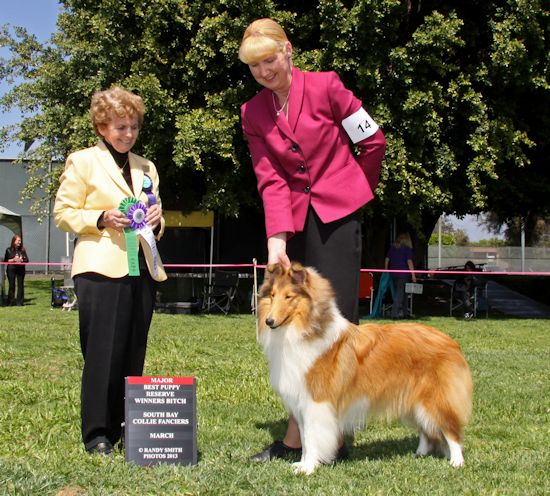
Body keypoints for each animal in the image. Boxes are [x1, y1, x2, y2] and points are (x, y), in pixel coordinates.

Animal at [258, 262, 474, 474]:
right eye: (272, 295)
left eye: (289, 297)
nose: (269, 321)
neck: (304, 331)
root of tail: (450, 341)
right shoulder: (301, 403)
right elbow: (304, 438)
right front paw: (302, 464)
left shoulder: (315, 403)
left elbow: (312, 439)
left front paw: (309, 468)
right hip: (413, 400)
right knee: (426, 430)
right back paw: (419, 453)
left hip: (435, 399)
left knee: (451, 430)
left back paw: (457, 462)